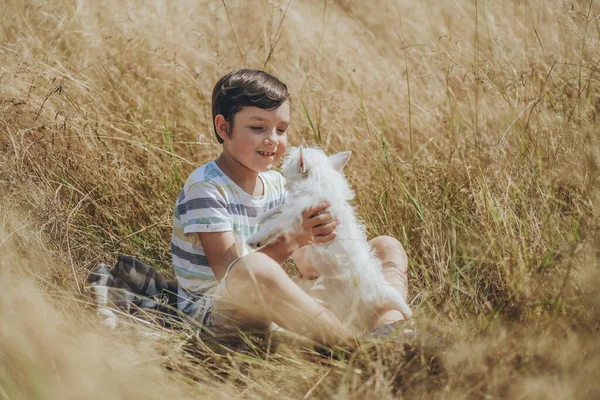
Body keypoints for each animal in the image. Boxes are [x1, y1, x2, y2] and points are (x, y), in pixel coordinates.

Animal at [246, 145, 410, 330]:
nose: (284, 180)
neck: (318, 183)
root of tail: (380, 291)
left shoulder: (296, 214)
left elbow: (277, 222)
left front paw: (256, 238)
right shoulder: (296, 209)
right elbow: (281, 207)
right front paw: (264, 215)